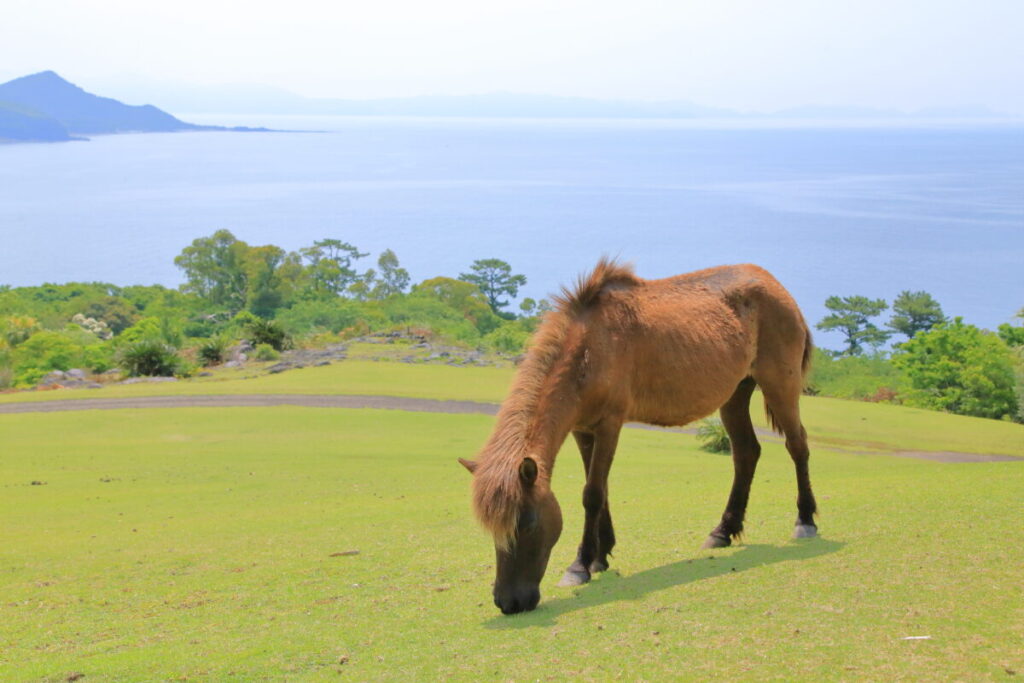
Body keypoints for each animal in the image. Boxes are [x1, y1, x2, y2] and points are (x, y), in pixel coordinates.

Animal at [458, 260, 818, 615]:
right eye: (492, 528)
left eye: (528, 523)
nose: (508, 602)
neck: (590, 346)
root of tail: (776, 287)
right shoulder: (582, 430)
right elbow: (600, 490)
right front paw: (600, 557)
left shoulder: (609, 424)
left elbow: (592, 494)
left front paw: (579, 566)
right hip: (735, 394)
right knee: (745, 453)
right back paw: (723, 532)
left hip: (779, 384)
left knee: (797, 445)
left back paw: (805, 522)